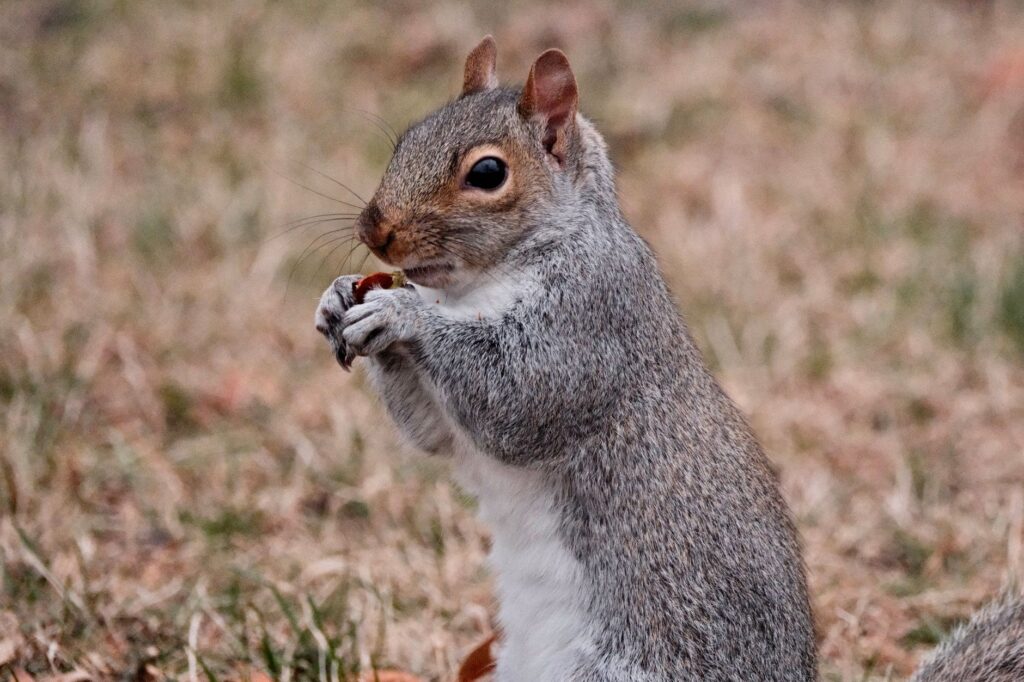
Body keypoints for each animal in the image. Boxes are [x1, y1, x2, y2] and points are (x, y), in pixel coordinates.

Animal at [315, 37, 1024, 681]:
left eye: (487, 174)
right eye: (405, 139)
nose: (374, 229)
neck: (475, 287)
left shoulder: (592, 320)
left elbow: (517, 400)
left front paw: (400, 313)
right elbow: (435, 434)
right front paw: (338, 300)